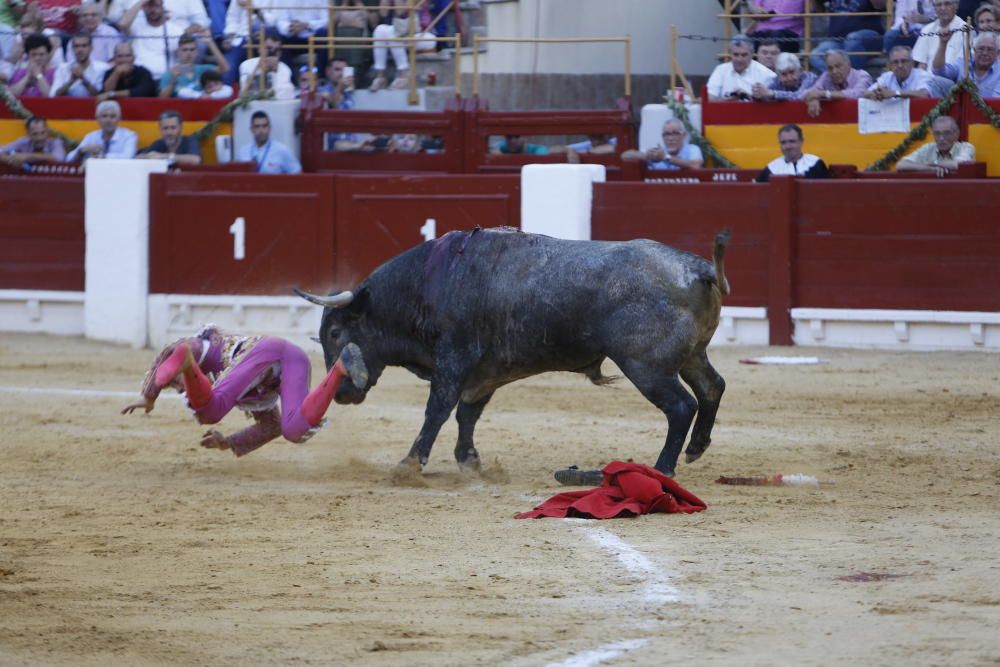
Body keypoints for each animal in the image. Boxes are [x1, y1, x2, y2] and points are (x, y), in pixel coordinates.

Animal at [292, 227, 732, 478]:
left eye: (335, 332)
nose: (342, 394)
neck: (427, 285)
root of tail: (699, 269)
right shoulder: (484, 370)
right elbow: (468, 413)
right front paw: (469, 460)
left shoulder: (454, 359)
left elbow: (438, 409)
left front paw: (410, 464)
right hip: (691, 356)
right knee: (712, 387)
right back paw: (695, 449)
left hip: (645, 365)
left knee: (681, 406)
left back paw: (663, 468)